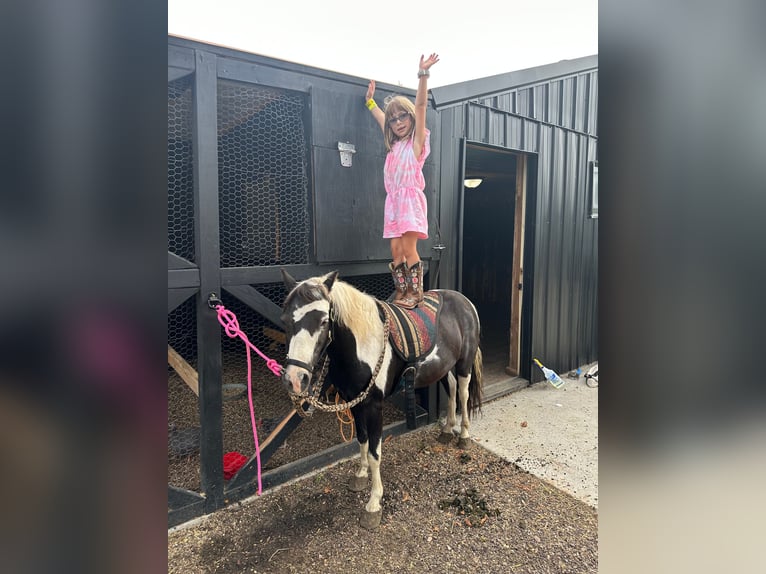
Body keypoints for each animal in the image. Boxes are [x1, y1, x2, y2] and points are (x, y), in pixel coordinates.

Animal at [279, 269, 483, 529]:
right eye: (285, 320)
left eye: (324, 321)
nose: (295, 379)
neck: (362, 345)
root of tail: (464, 301)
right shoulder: (354, 401)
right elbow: (362, 440)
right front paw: (360, 475)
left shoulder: (374, 406)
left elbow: (375, 453)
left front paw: (374, 503)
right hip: (443, 367)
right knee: (453, 389)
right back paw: (447, 431)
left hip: (464, 363)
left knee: (464, 393)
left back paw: (464, 436)